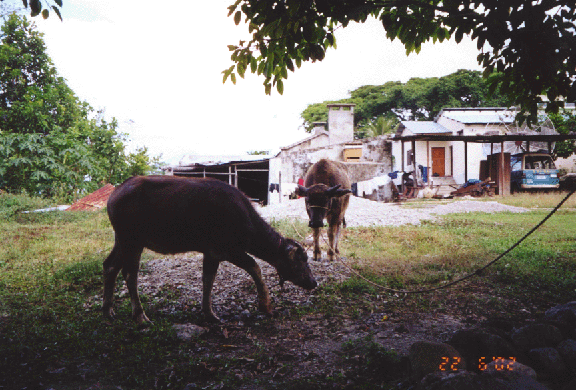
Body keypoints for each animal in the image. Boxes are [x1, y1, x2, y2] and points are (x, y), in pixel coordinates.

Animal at [105, 176, 318, 322]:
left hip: (121, 241)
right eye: (300, 261)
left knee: (110, 266)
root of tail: (114, 195)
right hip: (132, 242)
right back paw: (140, 317)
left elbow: (208, 279)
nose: (313, 282)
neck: (243, 217)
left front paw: (209, 313)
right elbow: (254, 266)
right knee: (130, 275)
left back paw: (108, 311)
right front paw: (265, 305)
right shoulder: (228, 250)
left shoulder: (211, 254)